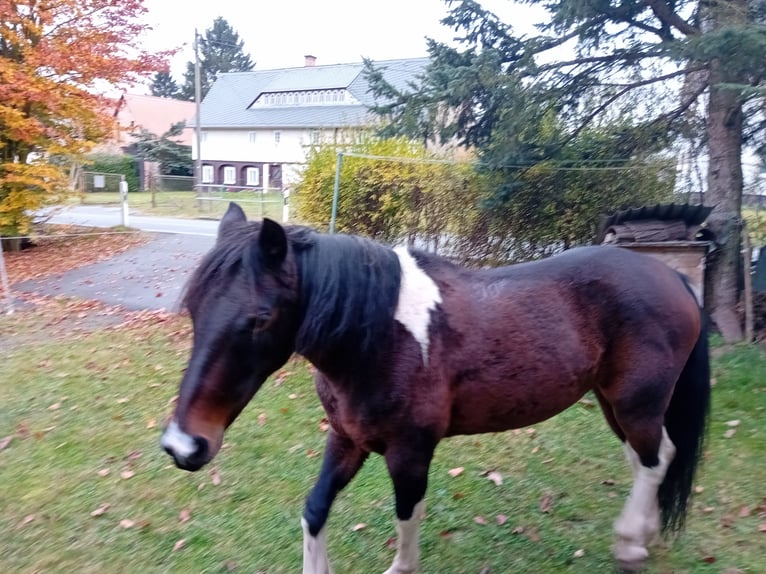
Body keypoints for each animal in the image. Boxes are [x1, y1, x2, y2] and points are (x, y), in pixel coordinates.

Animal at [162, 205, 712, 572]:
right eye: (194, 308)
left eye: (259, 319)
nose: (182, 445)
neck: (380, 337)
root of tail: (672, 277)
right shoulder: (346, 439)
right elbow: (314, 511)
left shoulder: (410, 452)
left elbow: (407, 517)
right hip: (612, 402)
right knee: (651, 458)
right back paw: (647, 533)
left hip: (636, 402)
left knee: (655, 459)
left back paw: (630, 542)